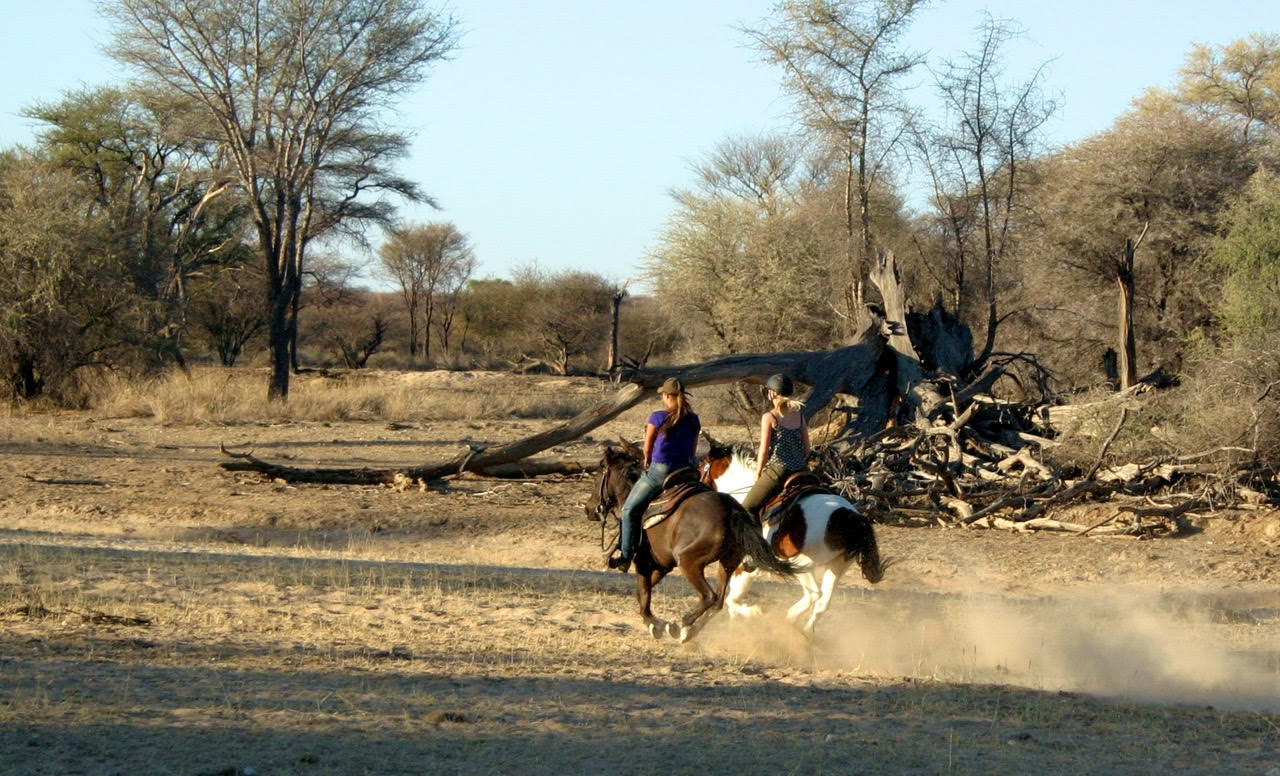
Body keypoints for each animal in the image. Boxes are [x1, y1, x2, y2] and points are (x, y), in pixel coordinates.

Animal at [585, 444, 796, 642]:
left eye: (599, 474)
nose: (589, 509)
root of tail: (732, 511)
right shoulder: (661, 565)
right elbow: (643, 593)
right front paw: (661, 625)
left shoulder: (643, 562)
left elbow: (643, 597)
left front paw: (657, 626)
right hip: (728, 563)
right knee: (719, 601)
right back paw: (690, 631)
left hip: (689, 562)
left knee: (710, 597)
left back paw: (684, 623)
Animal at [700, 440, 885, 635]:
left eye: (701, 465)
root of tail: (852, 518)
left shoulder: (745, 567)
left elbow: (731, 599)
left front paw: (753, 614)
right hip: (838, 565)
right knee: (823, 603)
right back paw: (805, 632)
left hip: (802, 565)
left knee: (813, 594)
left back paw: (788, 619)